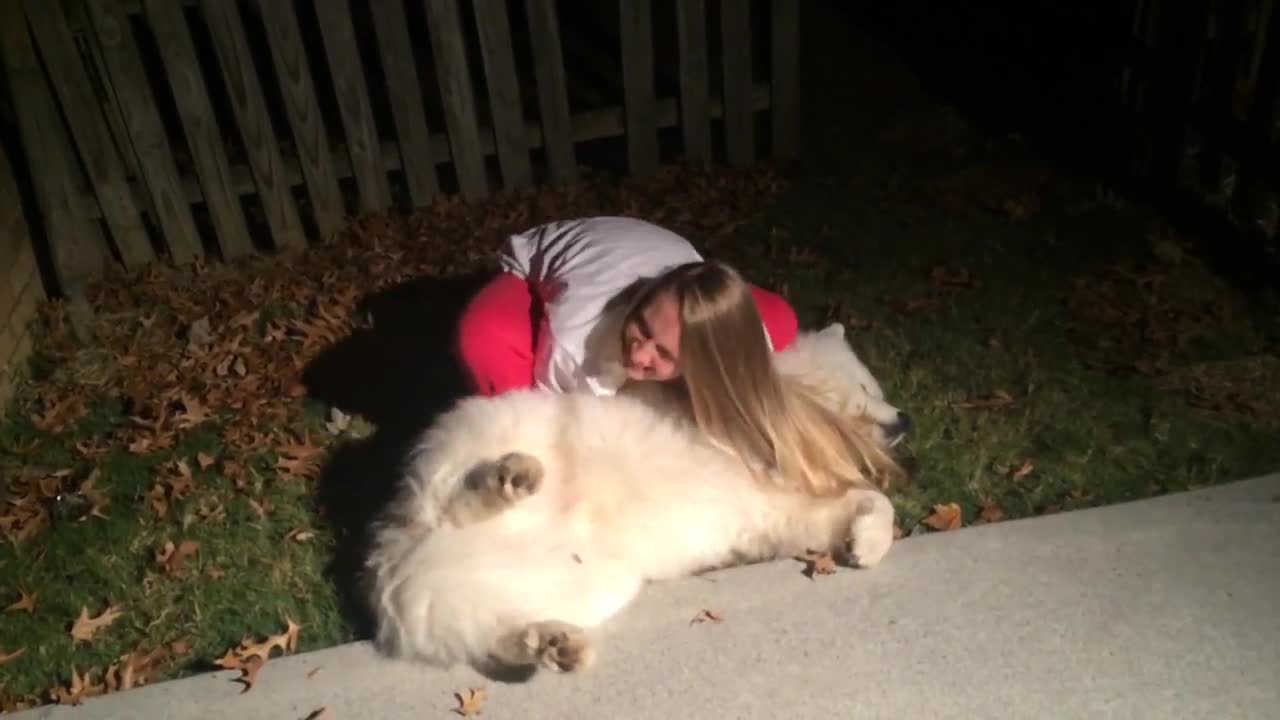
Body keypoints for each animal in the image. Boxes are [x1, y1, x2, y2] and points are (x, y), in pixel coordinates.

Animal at [366, 324, 906, 671]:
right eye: (866, 385)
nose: (906, 418)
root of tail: (401, 560)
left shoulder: (785, 513)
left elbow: (872, 503)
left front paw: (866, 544)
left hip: (587, 584)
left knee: (499, 635)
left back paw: (555, 646)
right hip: (477, 437)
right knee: (454, 501)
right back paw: (510, 478)